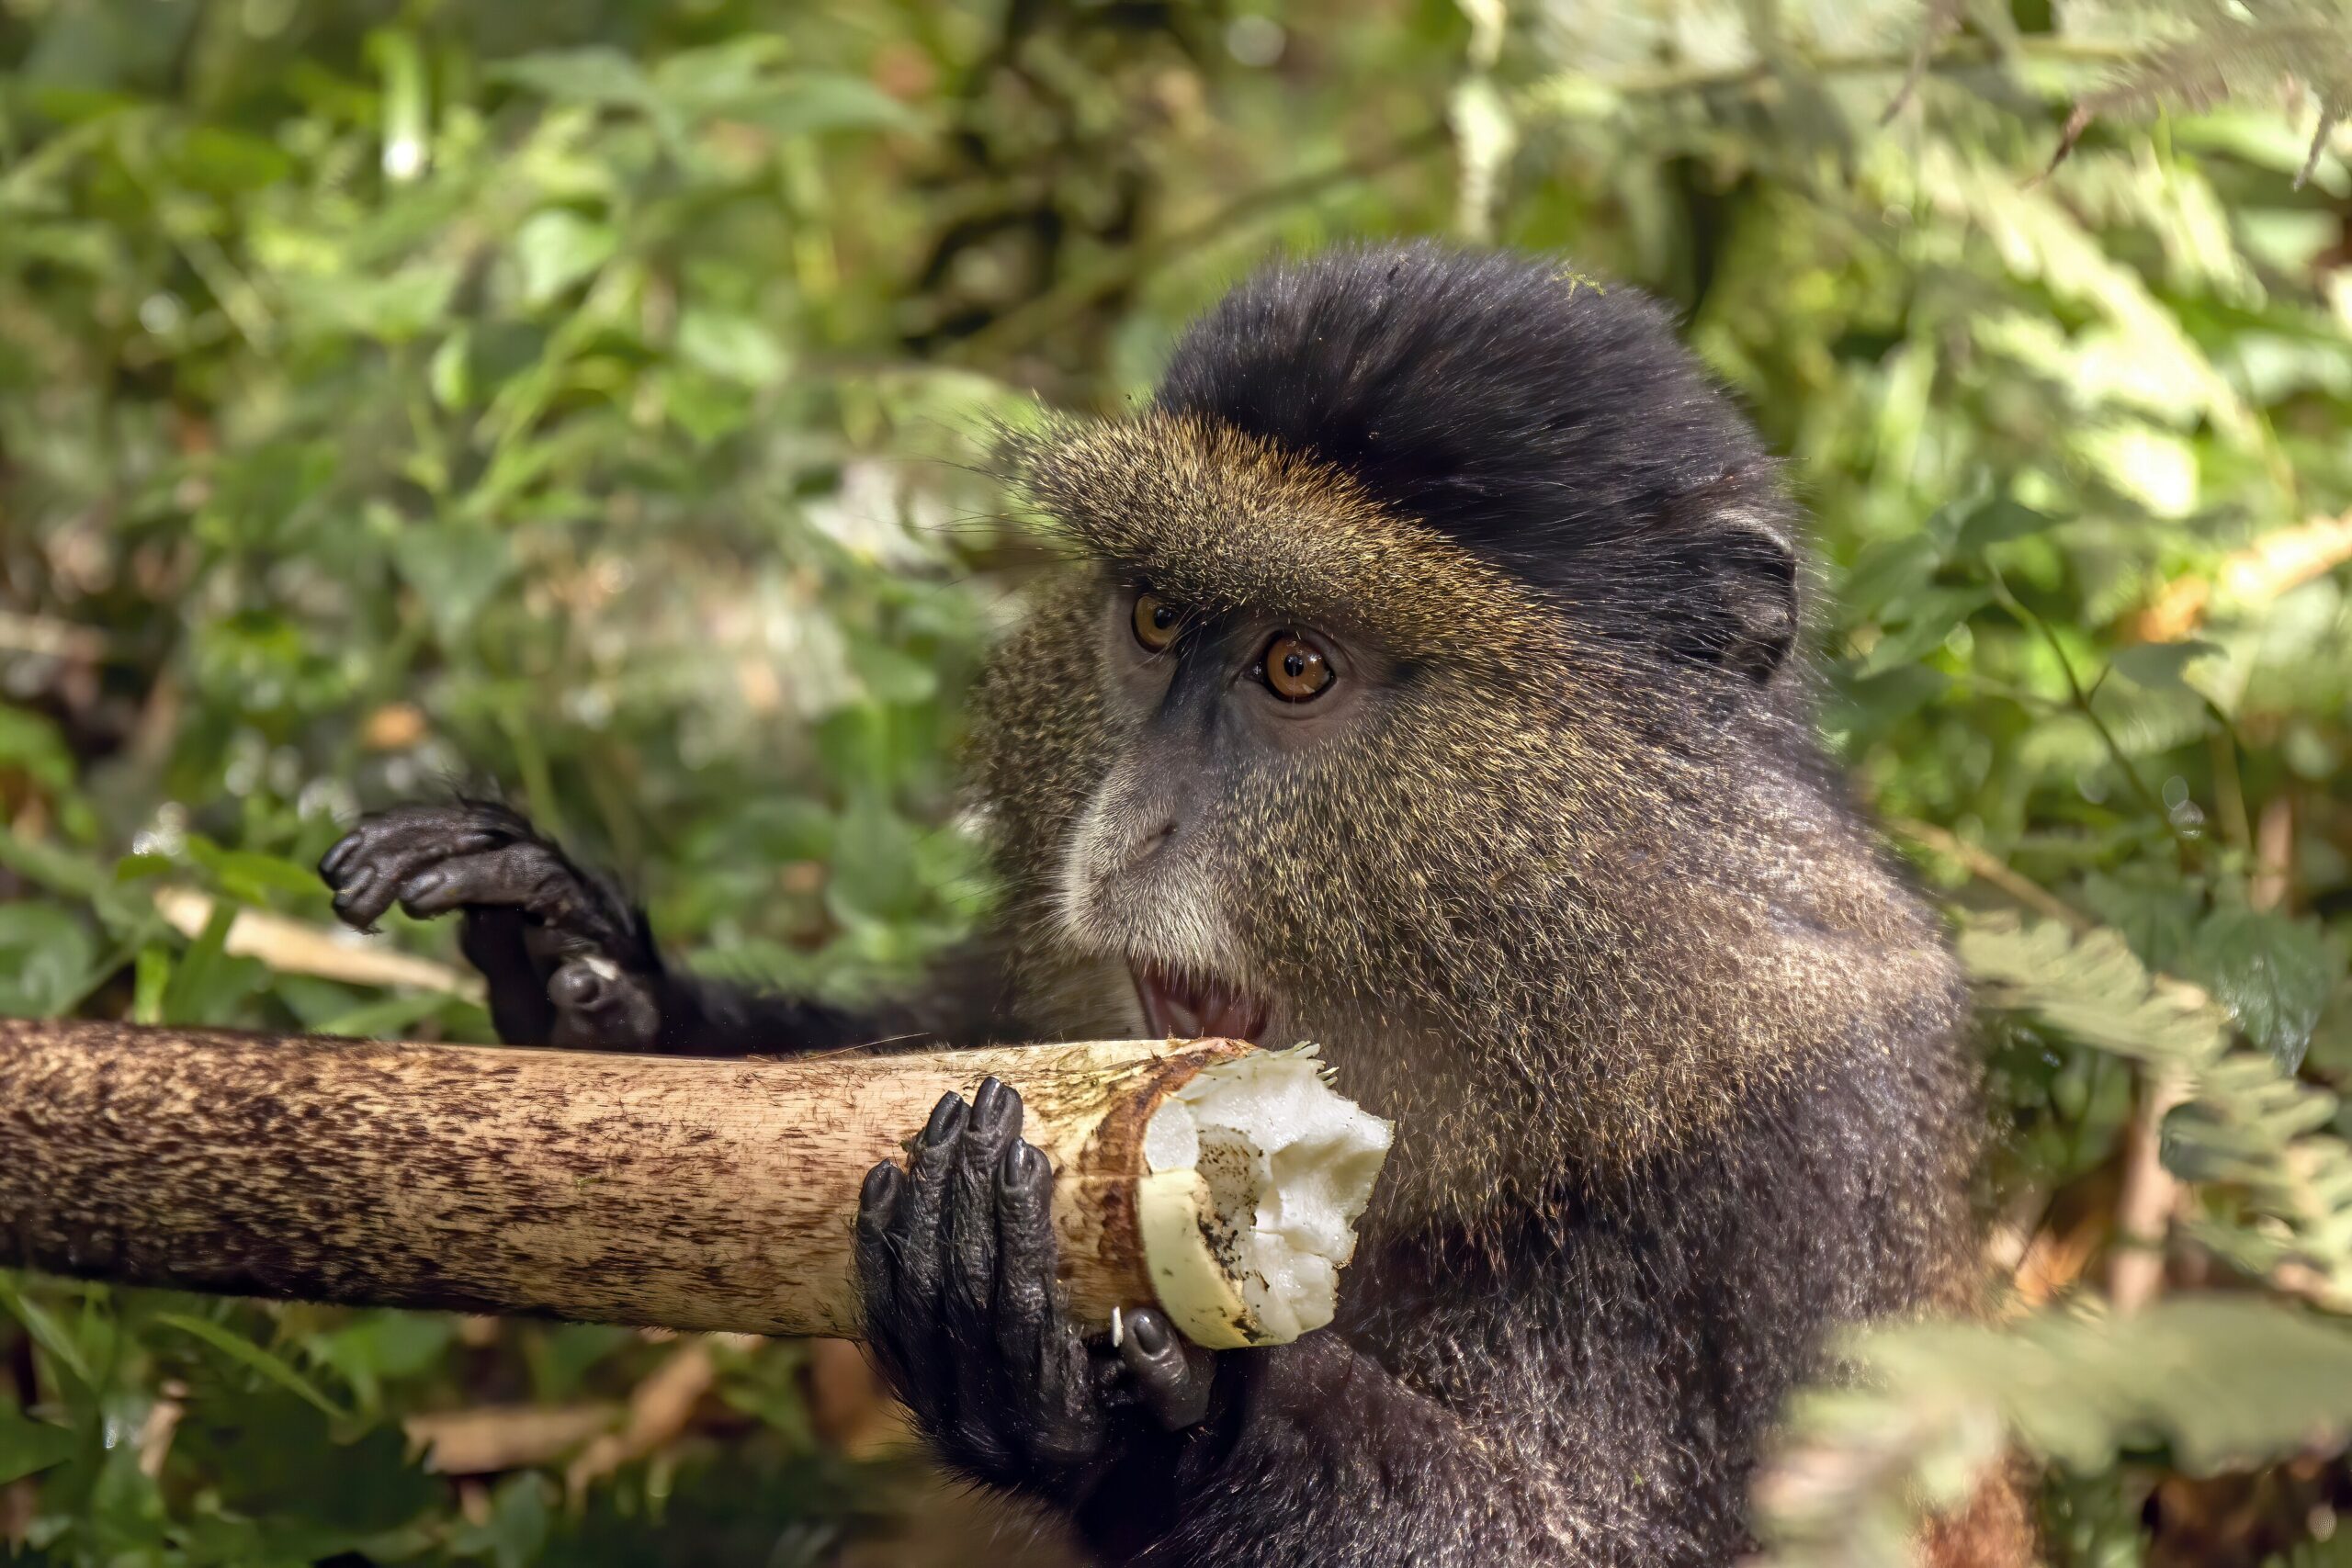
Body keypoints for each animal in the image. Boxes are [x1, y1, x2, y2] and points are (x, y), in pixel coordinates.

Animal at [319, 244, 2030, 1566]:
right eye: (1152, 618)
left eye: (1297, 665)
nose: (1121, 829)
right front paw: (587, 970)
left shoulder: (1796, 1154)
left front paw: (1140, 1421)